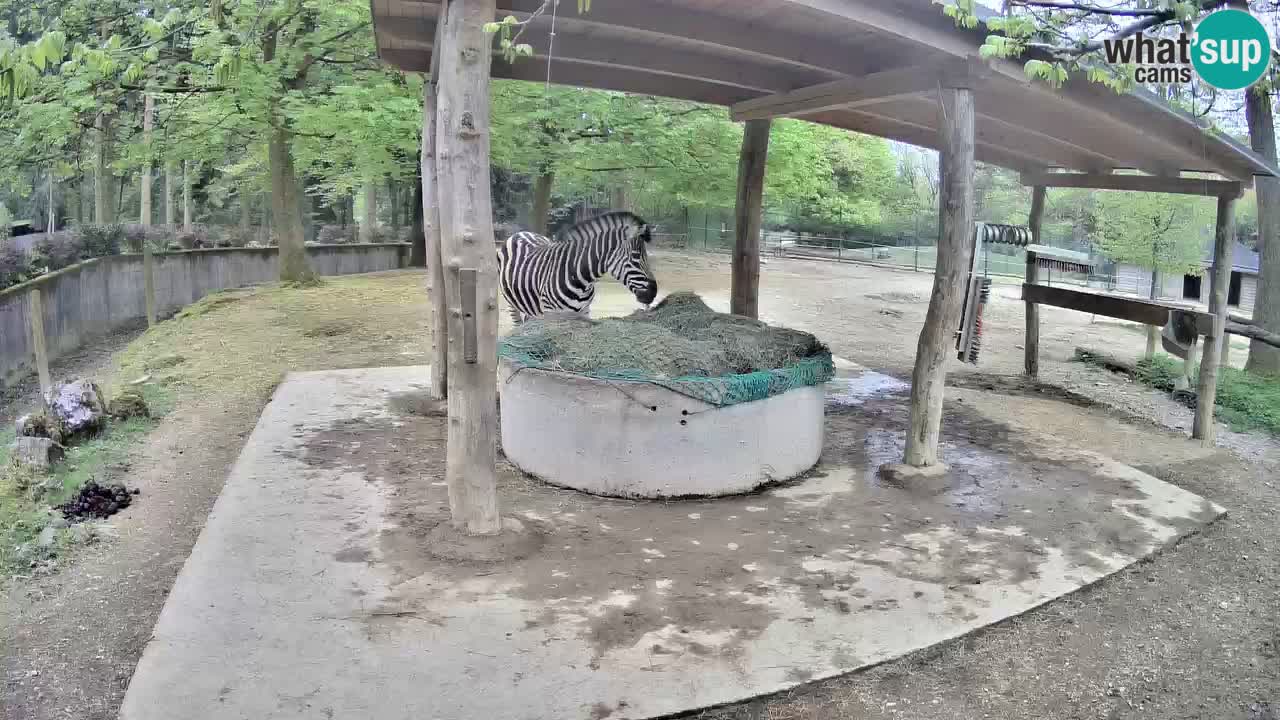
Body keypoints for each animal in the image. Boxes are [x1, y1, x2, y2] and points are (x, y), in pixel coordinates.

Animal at [497, 210, 659, 324]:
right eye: (635, 256)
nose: (654, 292)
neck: (581, 280)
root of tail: (520, 233)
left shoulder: (584, 313)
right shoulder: (551, 315)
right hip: (512, 305)